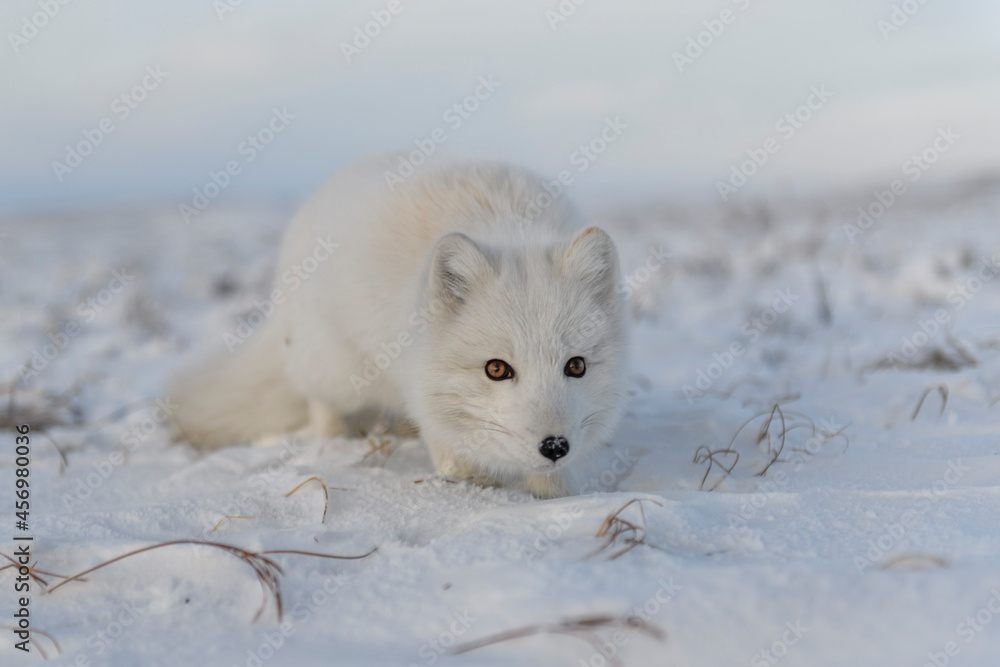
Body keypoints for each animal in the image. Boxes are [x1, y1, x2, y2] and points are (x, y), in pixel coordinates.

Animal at [168, 155, 629, 498]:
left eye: (576, 366)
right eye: (496, 369)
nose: (554, 446)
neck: (512, 229)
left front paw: (555, 495)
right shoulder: (421, 386)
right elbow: (448, 445)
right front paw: (471, 484)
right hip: (339, 373)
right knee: (318, 398)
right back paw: (337, 441)